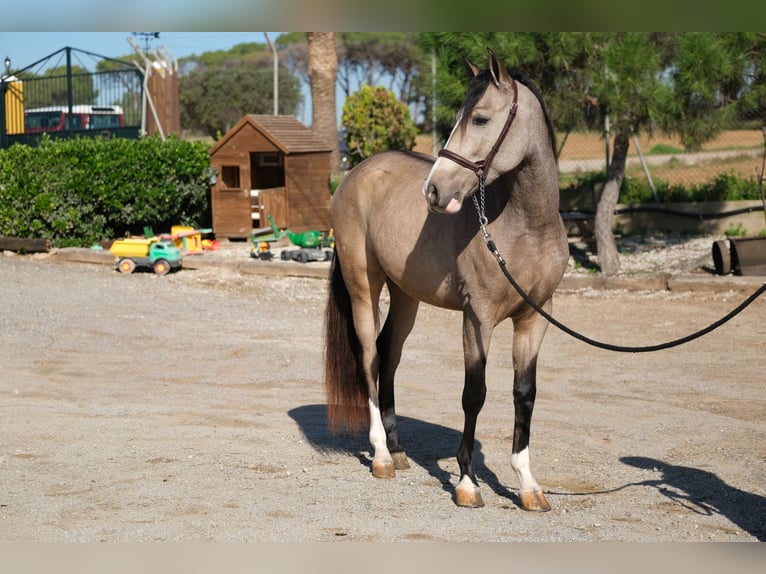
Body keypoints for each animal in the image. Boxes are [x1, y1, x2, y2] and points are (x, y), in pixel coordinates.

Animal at [324, 46, 568, 512]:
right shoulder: (478, 317)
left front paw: (528, 485)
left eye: (480, 119)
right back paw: (381, 455)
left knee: (389, 354)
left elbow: (524, 393)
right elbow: (475, 393)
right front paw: (468, 483)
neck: (526, 227)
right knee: (369, 358)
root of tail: (356, 174)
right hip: (364, 287)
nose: (434, 190)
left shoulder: (535, 318)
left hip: (406, 297)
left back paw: (398, 449)